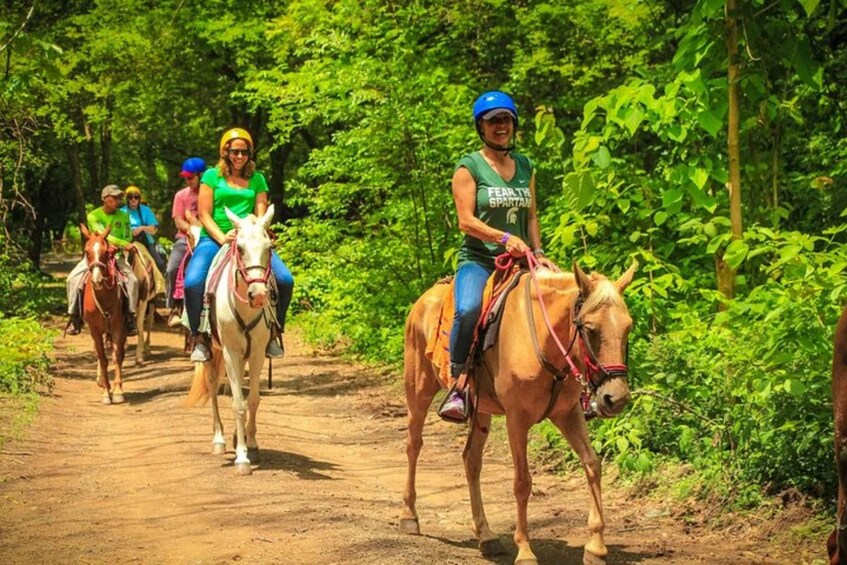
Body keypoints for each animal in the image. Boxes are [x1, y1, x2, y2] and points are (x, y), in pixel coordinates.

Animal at [81, 223, 129, 404]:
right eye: (87, 252)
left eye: (106, 252)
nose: (97, 280)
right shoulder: (94, 330)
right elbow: (102, 358)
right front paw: (106, 393)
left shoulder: (117, 328)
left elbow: (117, 357)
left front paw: (118, 391)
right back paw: (101, 381)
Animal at [186, 205, 276, 474]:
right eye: (241, 248)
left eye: (269, 247)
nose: (259, 294)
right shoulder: (230, 353)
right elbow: (238, 404)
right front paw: (242, 458)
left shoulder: (256, 353)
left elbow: (253, 400)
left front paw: (251, 444)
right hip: (213, 352)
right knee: (213, 387)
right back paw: (219, 440)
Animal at [402, 260, 636, 564]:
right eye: (590, 329)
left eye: (628, 327)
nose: (615, 399)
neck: (545, 338)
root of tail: (423, 299)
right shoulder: (517, 418)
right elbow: (522, 482)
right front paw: (524, 550)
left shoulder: (568, 413)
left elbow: (592, 464)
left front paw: (595, 547)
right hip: (418, 390)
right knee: (413, 445)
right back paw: (409, 516)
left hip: (480, 410)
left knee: (471, 460)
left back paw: (486, 536)